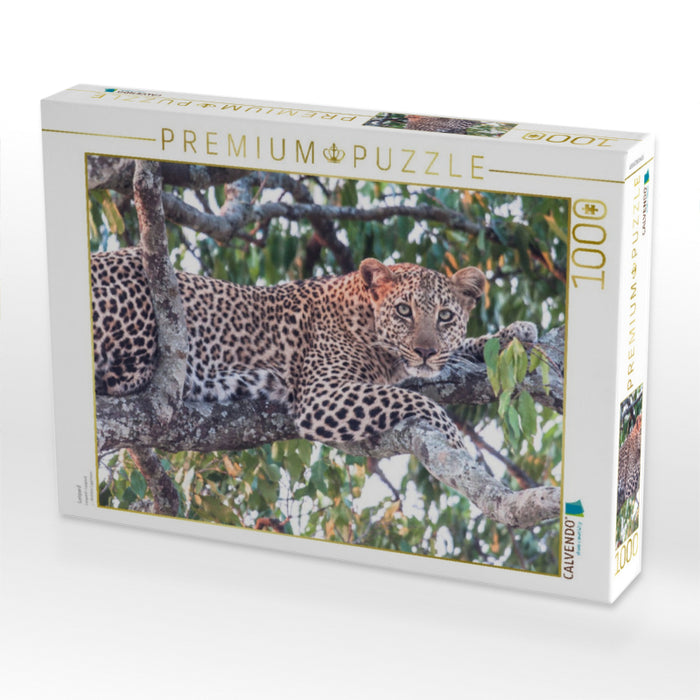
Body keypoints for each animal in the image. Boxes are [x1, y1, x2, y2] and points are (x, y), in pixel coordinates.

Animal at [91, 247, 537, 449]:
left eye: (445, 316)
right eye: (403, 311)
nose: (425, 351)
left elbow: (459, 350)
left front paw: (517, 332)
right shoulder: (324, 396)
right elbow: (420, 402)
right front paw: (455, 443)